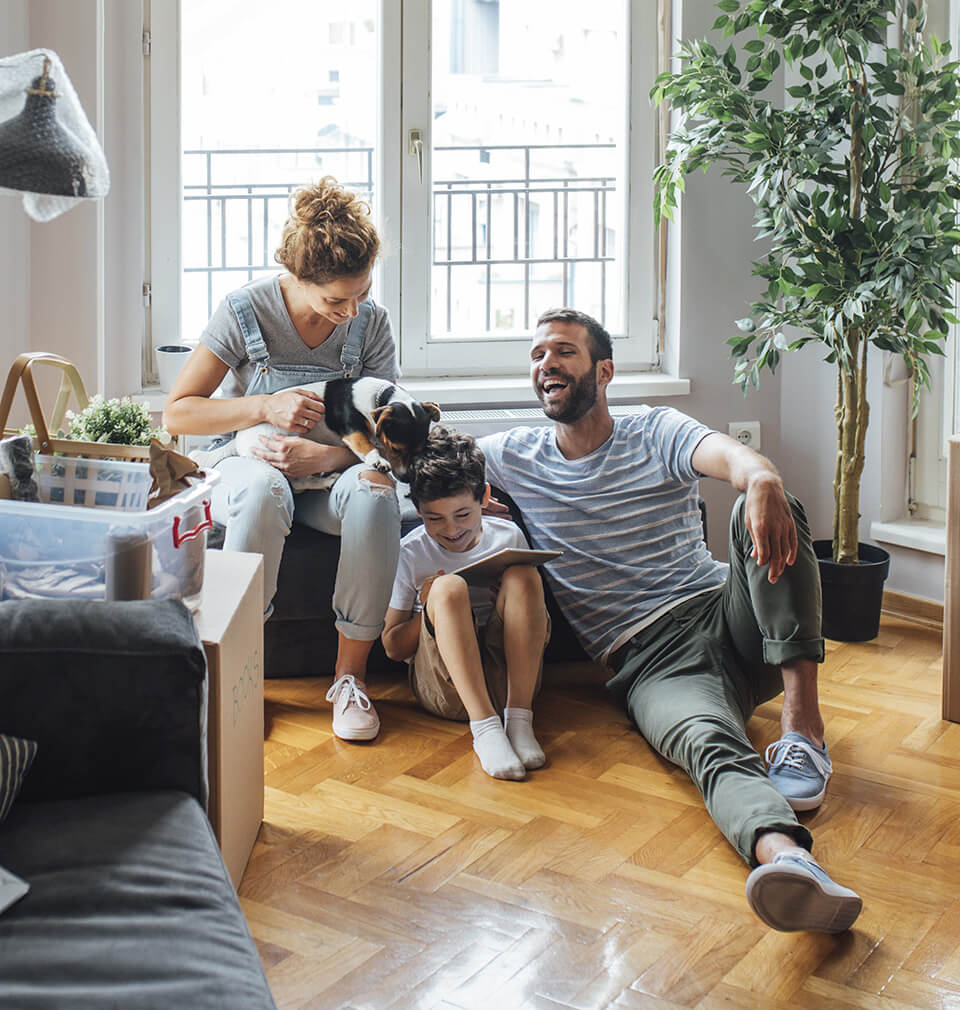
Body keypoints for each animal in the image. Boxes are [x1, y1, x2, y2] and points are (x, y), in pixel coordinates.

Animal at [234, 377, 440, 490]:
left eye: (420, 451)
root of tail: (238, 440)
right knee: (297, 483)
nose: (407, 479)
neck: (379, 396)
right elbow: (366, 445)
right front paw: (378, 460)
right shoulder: (352, 430)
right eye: (395, 449)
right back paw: (325, 481)